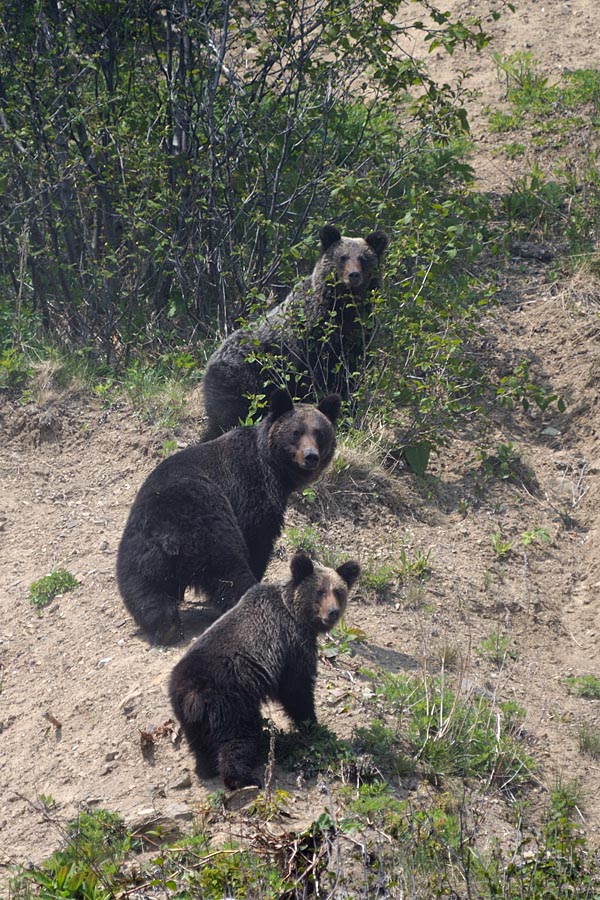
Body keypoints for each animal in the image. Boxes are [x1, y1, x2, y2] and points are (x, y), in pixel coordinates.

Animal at [117, 390, 342, 644]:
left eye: (319, 433)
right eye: (296, 432)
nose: (311, 456)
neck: (275, 470)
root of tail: (170, 535)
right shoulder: (251, 489)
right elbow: (258, 538)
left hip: (139, 546)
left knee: (143, 589)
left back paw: (166, 626)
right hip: (210, 529)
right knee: (230, 571)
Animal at [169, 548, 358, 788]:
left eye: (339, 591)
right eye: (320, 591)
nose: (332, 612)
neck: (295, 613)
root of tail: (191, 693)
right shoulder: (291, 645)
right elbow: (297, 690)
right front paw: (312, 724)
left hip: (188, 715)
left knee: (200, 745)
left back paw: (206, 768)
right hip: (229, 701)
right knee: (238, 738)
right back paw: (243, 778)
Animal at [200, 223, 390, 438]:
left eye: (363, 258)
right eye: (343, 257)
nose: (353, 275)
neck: (342, 310)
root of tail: (211, 360)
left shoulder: (357, 338)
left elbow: (349, 376)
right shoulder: (309, 342)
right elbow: (313, 379)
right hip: (242, 378)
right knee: (230, 415)